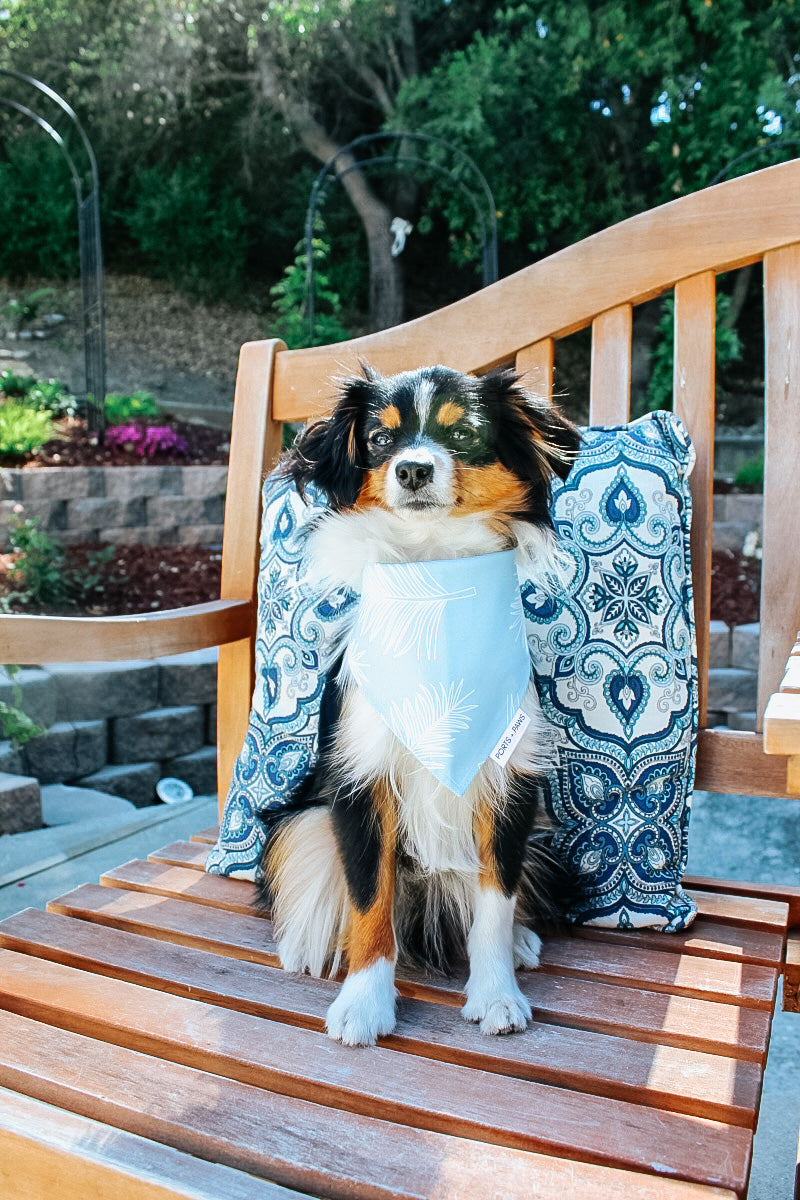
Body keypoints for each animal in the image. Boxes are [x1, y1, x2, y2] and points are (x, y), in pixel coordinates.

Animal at [260, 362, 578, 1041]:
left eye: (464, 435)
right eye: (381, 439)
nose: (411, 469)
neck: (437, 586)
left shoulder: (508, 785)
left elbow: (494, 900)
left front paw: (496, 993)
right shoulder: (361, 778)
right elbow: (368, 899)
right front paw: (364, 1003)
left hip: (542, 835)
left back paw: (520, 943)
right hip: (299, 819)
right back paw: (304, 943)